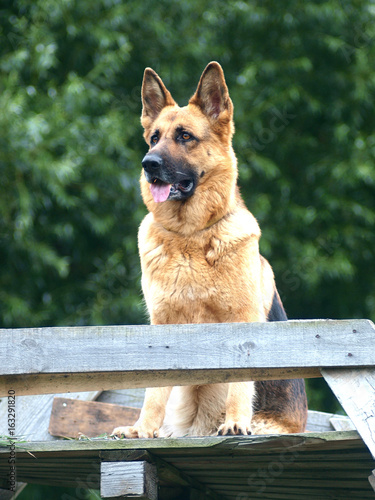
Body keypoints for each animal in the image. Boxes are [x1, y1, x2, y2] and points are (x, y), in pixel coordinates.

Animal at [112, 61, 308, 438]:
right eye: (154, 137)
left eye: (185, 136)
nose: (148, 164)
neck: (189, 236)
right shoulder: (162, 326)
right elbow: (153, 390)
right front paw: (142, 429)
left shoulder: (242, 322)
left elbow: (240, 381)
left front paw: (235, 422)